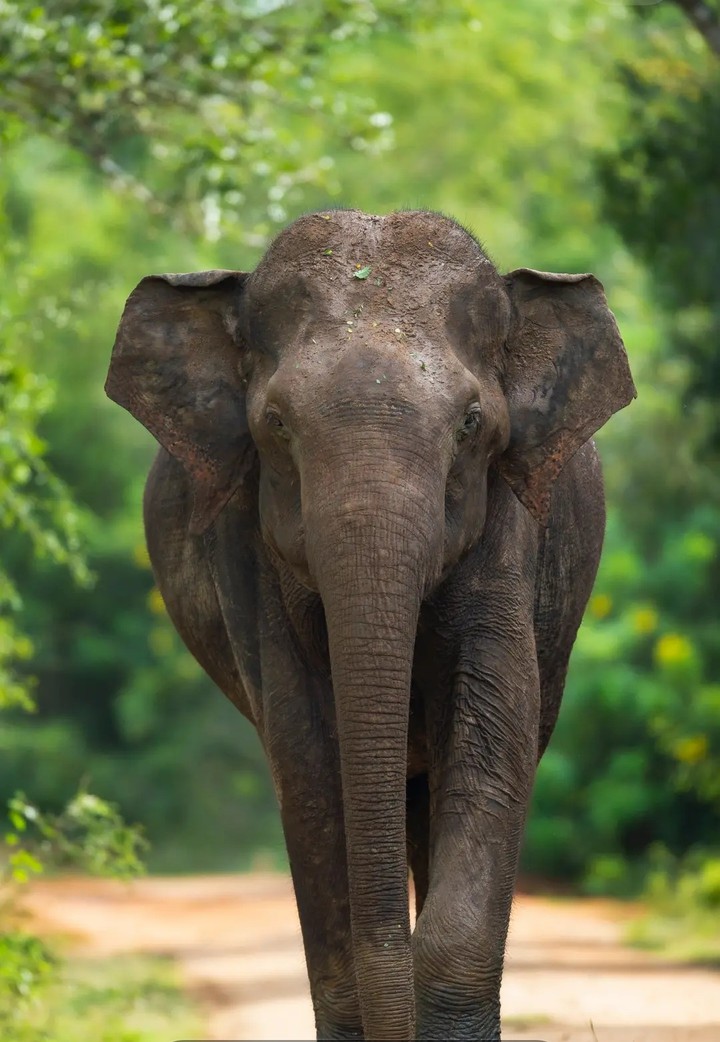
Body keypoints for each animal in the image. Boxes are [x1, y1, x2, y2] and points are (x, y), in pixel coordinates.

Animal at [105, 208, 635, 1041]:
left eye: (473, 423)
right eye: (275, 424)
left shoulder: (507, 534)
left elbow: (494, 731)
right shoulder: (246, 554)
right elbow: (307, 760)